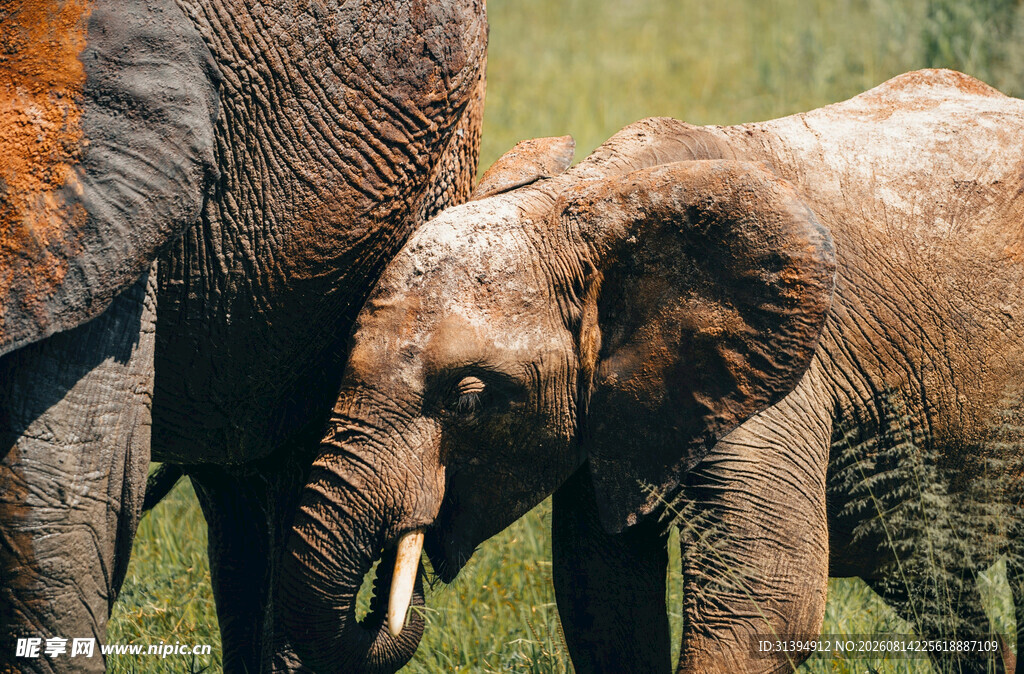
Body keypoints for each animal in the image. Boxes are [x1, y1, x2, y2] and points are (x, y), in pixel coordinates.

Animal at [276, 68, 1024, 674]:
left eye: (467, 397)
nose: (384, 593)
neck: (591, 198)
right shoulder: (610, 400)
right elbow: (601, 595)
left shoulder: (773, 380)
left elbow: (767, 601)